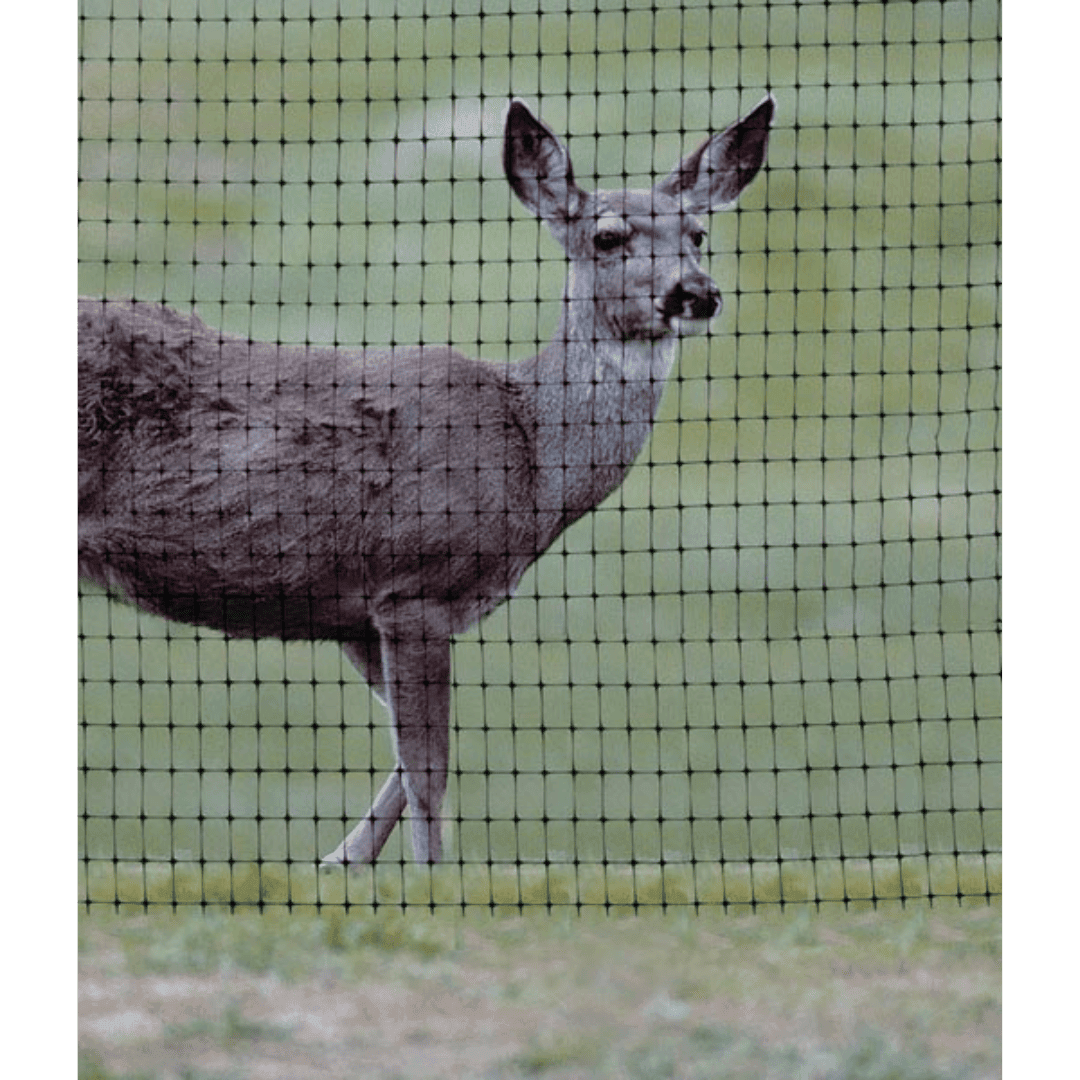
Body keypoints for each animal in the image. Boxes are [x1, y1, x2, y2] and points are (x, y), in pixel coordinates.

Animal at [77, 96, 774, 866]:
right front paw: (430, 879)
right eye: (608, 236)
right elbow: (430, 774)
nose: (696, 294)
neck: (533, 457)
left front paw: (341, 863)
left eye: (699, 233)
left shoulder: (354, 612)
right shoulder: (415, 584)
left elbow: (405, 767)